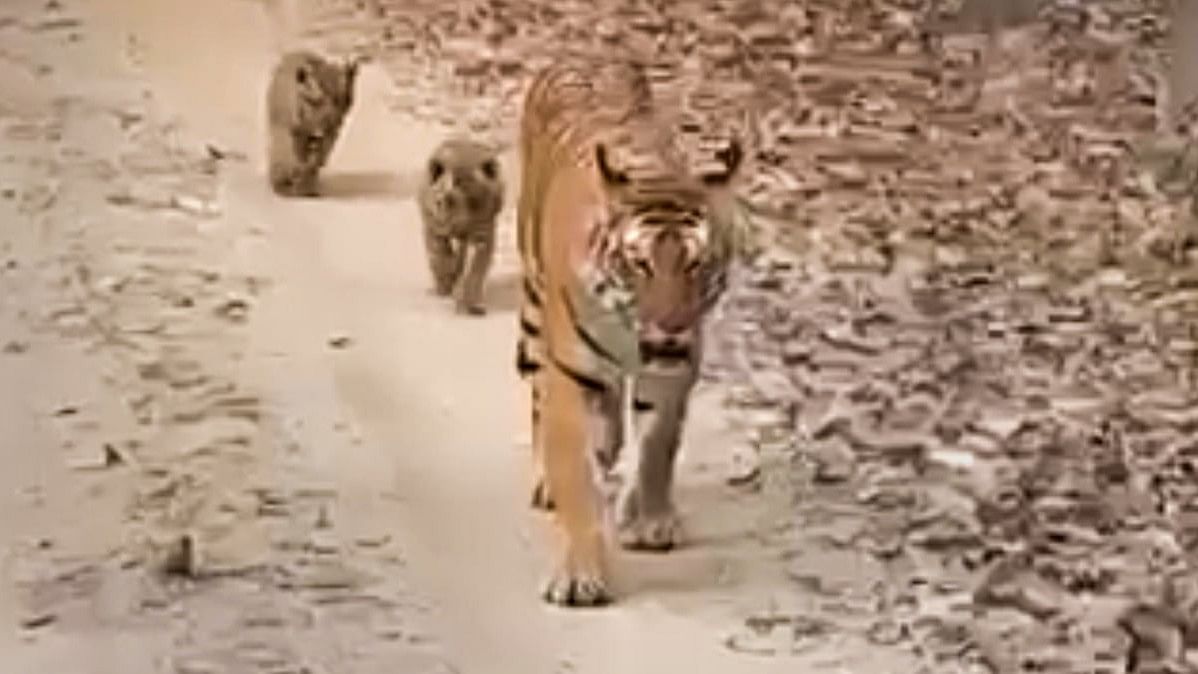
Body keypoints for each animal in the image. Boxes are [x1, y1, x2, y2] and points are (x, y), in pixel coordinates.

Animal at [512, 55, 747, 608]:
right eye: (640, 264)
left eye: (697, 264)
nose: (670, 327)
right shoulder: (571, 373)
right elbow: (574, 474)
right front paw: (579, 574)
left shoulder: (674, 368)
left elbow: (658, 445)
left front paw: (650, 521)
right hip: (534, 308)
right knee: (538, 398)